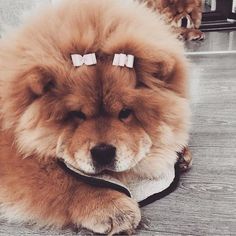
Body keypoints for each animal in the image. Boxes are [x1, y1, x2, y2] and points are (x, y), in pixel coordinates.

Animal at [0, 0, 191, 234]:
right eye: (78, 114)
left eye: (125, 113)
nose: (103, 152)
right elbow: (63, 178)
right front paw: (111, 207)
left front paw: (181, 152)